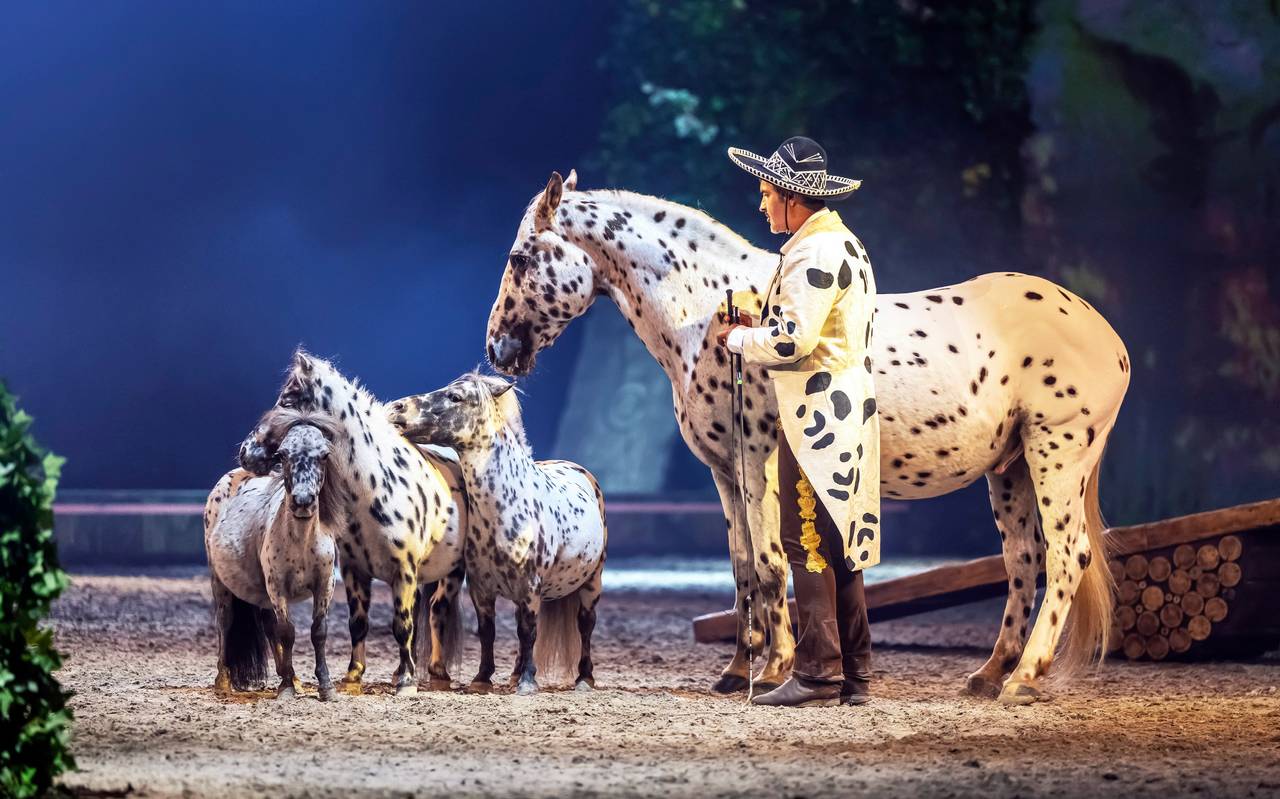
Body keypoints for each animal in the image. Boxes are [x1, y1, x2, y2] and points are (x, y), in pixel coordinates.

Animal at [205, 423, 339, 700]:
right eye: (283, 455)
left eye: (323, 455)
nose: (303, 501)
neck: (301, 541)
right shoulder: (277, 586)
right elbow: (286, 632)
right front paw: (286, 688)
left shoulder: (325, 585)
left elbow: (318, 631)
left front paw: (325, 686)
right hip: (220, 581)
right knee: (225, 621)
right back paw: (223, 680)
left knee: (268, 625)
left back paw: (293, 677)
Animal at [239, 351, 466, 695]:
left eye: (288, 399)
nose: (245, 452)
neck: (377, 484)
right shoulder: (355, 570)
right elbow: (358, 623)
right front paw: (353, 676)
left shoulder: (403, 571)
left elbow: (402, 625)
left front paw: (407, 683)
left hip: (452, 573)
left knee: (437, 610)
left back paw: (435, 673)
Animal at [387, 372, 608, 696]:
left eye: (455, 397)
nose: (397, 408)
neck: (507, 508)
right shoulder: (482, 589)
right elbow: (488, 632)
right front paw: (482, 678)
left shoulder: (530, 587)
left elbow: (528, 632)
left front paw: (528, 682)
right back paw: (515, 675)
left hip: (592, 581)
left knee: (585, 624)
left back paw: (584, 679)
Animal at [483, 171, 1130, 704]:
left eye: (519, 257)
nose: (497, 348)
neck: (705, 315)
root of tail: (1108, 335)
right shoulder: (724, 472)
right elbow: (742, 568)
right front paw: (736, 671)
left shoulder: (758, 458)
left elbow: (773, 563)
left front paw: (773, 671)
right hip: (1010, 467)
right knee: (1023, 560)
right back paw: (991, 674)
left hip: (1057, 454)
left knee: (1067, 557)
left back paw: (1024, 680)